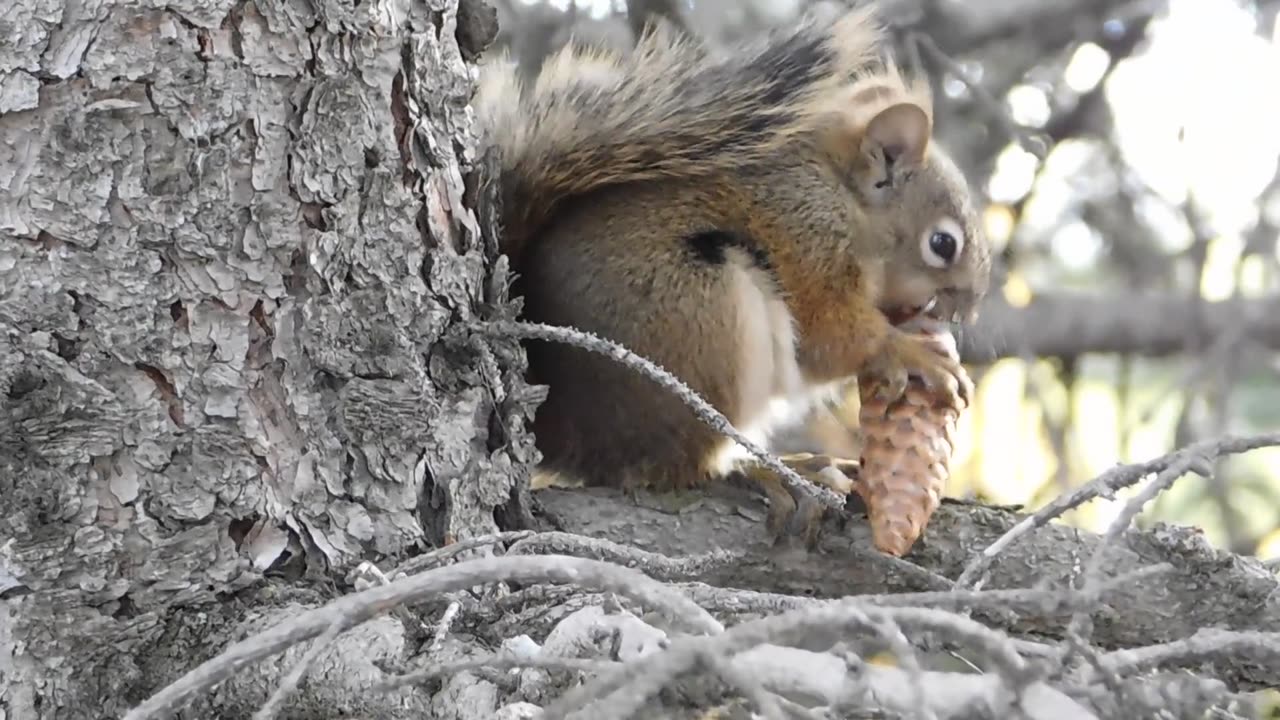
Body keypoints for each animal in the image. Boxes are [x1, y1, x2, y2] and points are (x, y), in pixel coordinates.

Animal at [476, 7, 993, 543]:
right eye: (943, 244)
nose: (969, 309)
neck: (842, 197)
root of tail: (564, 433)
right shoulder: (806, 238)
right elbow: (828, 340)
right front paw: (911, 352)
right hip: (704, 323)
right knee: (679, 467)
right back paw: (769, 470)